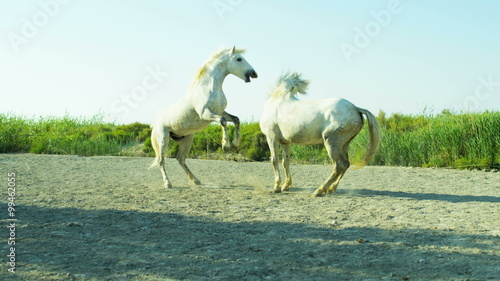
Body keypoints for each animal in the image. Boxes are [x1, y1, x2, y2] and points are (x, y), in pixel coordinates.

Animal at [151, 47, 258, 187]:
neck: (209, 87)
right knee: (161, 160)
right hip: (163, 139)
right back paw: (168, 183)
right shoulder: (206, 114)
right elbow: (223, 121)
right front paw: (226, 145)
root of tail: (155, 121)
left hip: (187, 139)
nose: (254, 73)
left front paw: (235, 144)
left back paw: (196, 180)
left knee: (180, 159)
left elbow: (236, 119)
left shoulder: (221, 111)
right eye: (239, 59)